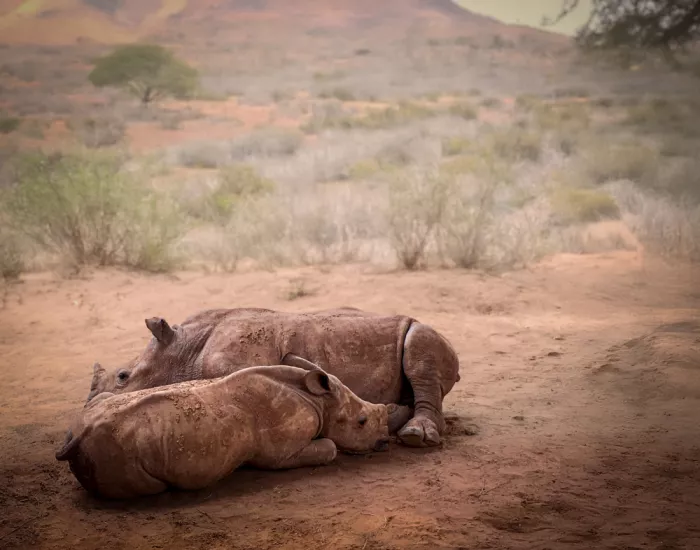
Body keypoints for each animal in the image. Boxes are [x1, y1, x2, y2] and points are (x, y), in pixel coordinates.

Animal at [56, 363, 390, 499]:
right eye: (362, 421)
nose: (385, 442)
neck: (321, 401)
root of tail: (77, 438)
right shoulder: (282, 454)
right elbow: (330, 447)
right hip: (115, 450)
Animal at [86, 307, 461, 448]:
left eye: (123, 377)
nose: (89, 406)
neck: (184, 352)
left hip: (423, 330)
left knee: (420, 347)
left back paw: (415, 437)